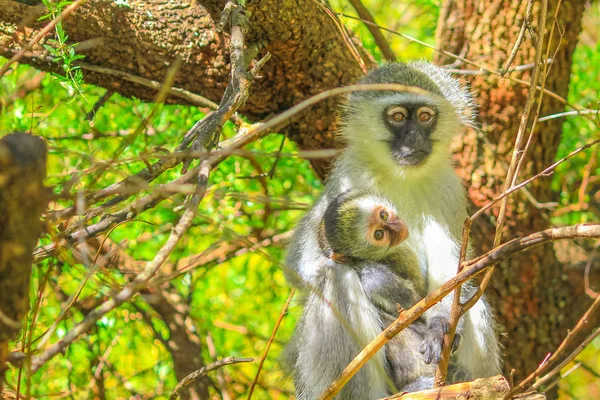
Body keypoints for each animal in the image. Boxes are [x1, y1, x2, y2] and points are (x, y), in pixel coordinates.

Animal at [284, 61, 502, 398]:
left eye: (425, 116)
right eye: (398, 117)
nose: (413, 139)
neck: (402, 176)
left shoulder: (448, 189)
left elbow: (455, 273)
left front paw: (440, 324)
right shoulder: (347, 178)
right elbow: (301, 266)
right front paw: (379, 278)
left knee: (473, 303)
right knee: (337, 277)